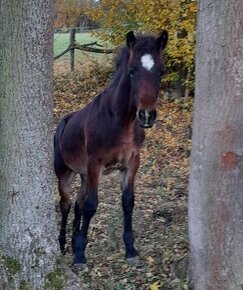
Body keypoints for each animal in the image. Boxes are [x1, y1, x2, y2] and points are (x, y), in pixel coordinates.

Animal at [54, 30, 168, 268]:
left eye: (161, 71)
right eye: (132, 71)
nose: (146, 116)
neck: (120, 121)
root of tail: (64, 122)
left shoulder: (131, 163)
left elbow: (127, 202)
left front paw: (130, 250)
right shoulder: (95, 164)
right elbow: (91, 205)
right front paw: (80, 256)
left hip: (83, 175)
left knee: (77, 205)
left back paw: (73, 241)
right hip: (65, 174)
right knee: (66, 204)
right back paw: (62, 245)